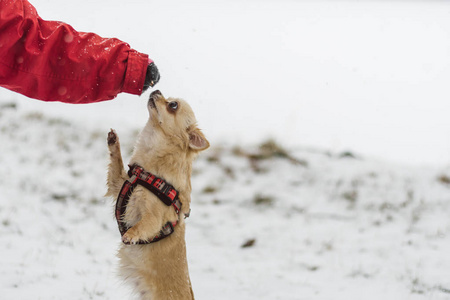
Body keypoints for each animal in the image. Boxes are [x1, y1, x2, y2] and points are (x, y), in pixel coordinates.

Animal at [105, 90, 209, 298]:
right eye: (169, 98)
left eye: (173, 105)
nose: (156, 90)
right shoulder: (118, 183)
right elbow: (116, 164)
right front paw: (114, 143)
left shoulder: (153, 218)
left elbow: (143, 226)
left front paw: (130, 235)